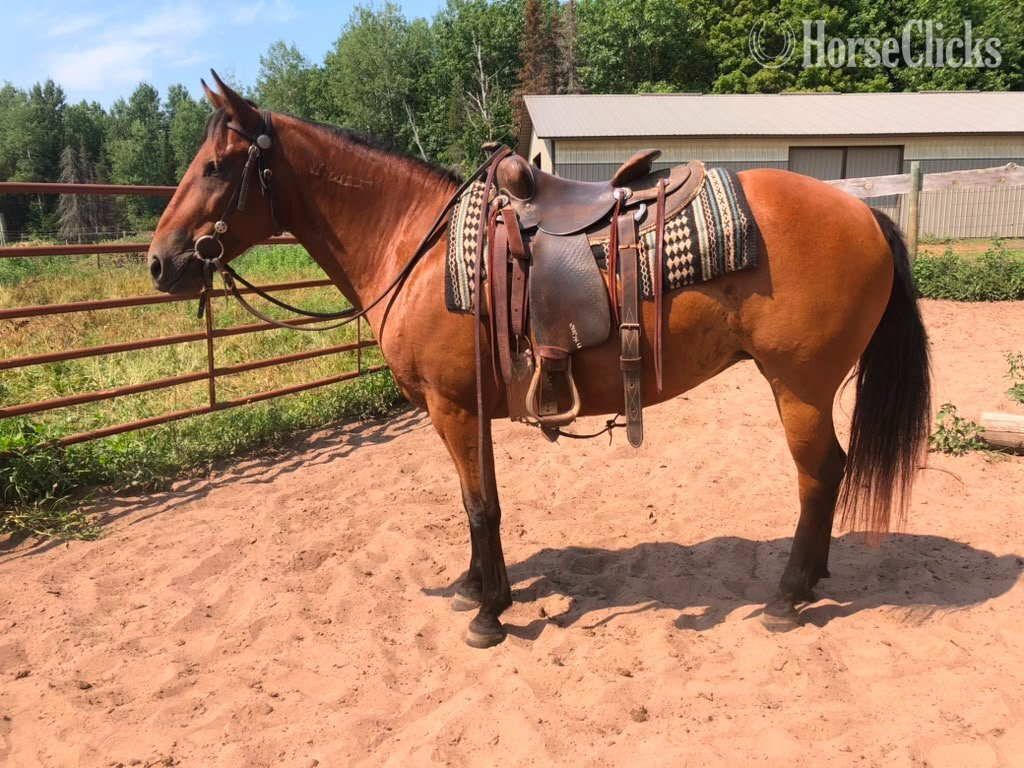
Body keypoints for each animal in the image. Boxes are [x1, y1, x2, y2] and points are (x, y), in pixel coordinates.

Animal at [147, 73, 931, 648]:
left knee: (818, 475)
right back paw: (814, 577)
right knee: (830, 472)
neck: (419, 249)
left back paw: (789, 596)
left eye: (216, 166)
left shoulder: (453, 407)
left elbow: (480, 504)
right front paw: (476, 585)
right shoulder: (470, 409)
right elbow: (480, 502)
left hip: (799, 386)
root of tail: (864, 211)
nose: (160, 262)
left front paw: (489, 613)